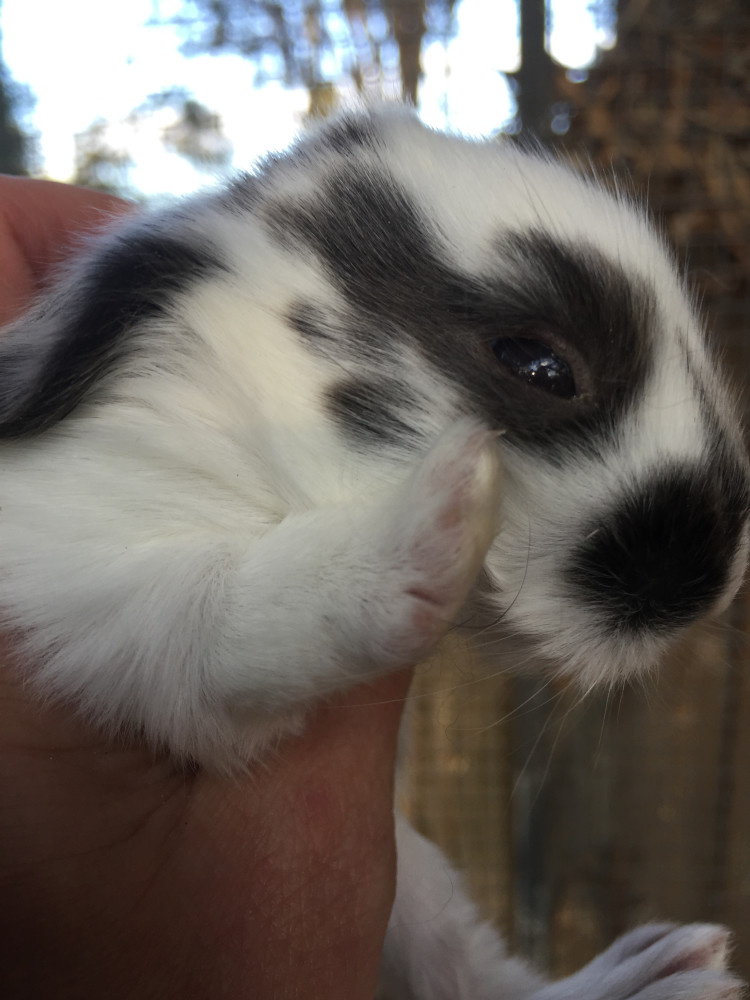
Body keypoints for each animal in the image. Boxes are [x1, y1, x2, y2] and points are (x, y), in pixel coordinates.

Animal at [0, 105, 747, 999]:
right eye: (539, 365)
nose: (710, 581)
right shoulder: (87, 584)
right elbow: (222, 611)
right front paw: (430, 526)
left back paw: (657, 976)